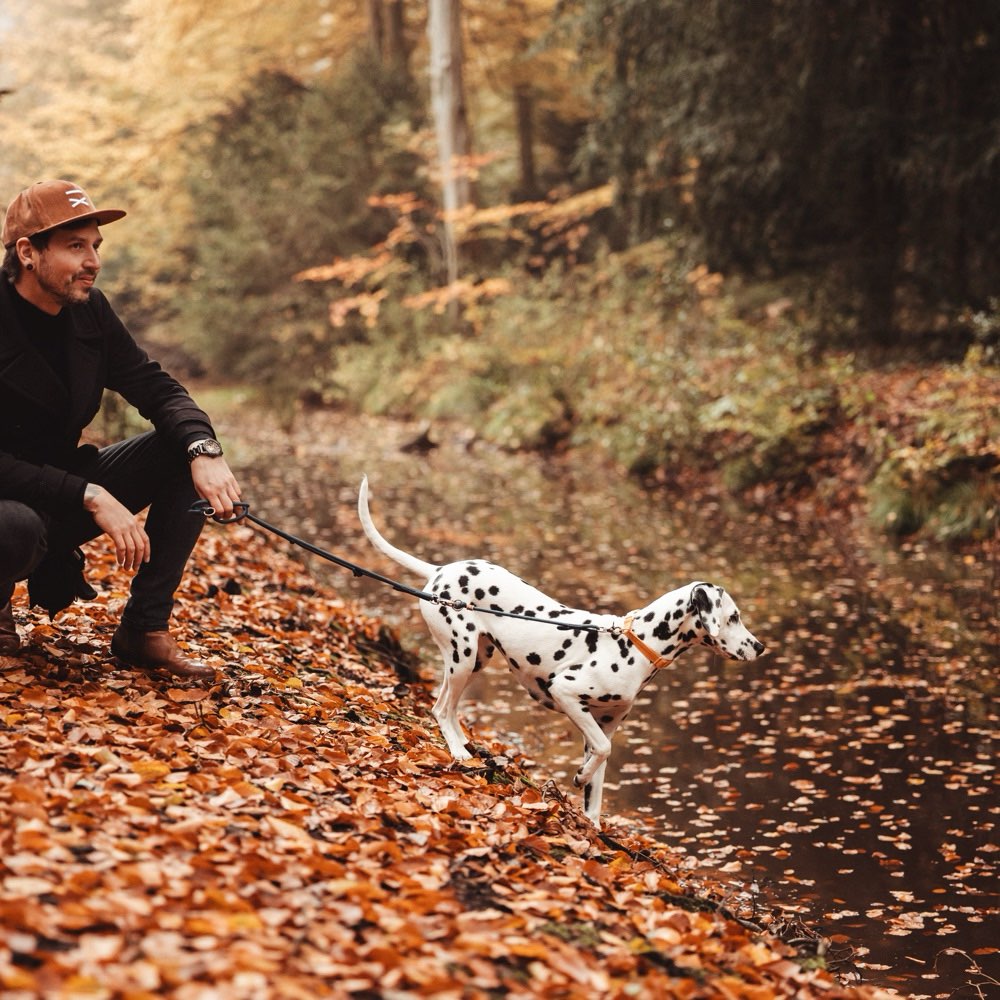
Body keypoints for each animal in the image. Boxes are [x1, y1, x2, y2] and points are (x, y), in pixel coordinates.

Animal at [360, 476, 764, 828]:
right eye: (733, 617)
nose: (760, 647)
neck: (635, 645)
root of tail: (440, 570)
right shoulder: (567, 694)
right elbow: (602, 752)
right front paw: (579, 776)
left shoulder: (606, 723)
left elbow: (597, 785)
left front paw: (593, 824)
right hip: (462, 656)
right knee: (441, 708)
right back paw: (459, 752)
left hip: (474, 660)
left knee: (448, 705)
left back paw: (464, 745)